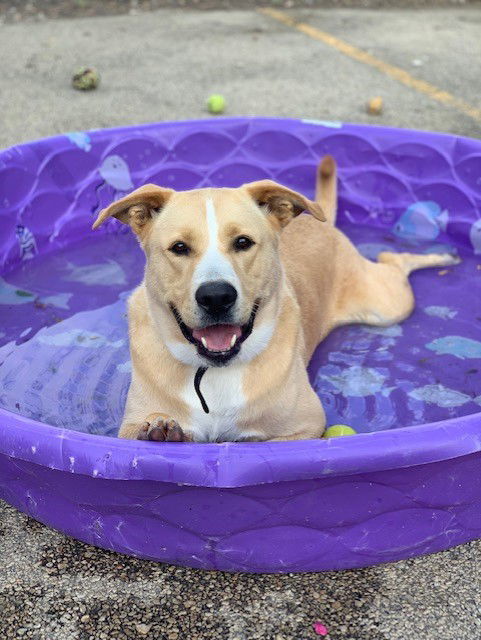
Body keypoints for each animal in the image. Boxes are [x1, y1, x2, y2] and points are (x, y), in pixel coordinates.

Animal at [93, 158, 458, 442]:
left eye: (243, 242)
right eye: (179, 248)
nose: (216, 297)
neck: (213, 372)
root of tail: (318, 219)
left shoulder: (305, 427)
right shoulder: (127, 430)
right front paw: (162, 431)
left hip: (386, 305)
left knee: (393, 260)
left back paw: (441, 257)